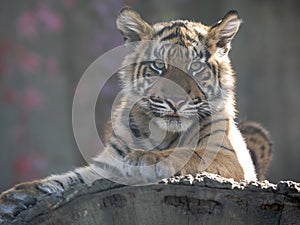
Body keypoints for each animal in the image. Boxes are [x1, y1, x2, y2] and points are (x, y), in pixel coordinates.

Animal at [0, 6, 272, 220]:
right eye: (159, 65)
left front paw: (145, 159)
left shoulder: (227, 157)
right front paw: (16, 196)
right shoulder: (107, 165)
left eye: (196, 66)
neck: (162, 132)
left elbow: (188, 153)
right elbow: (70, 178)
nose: (175, 101)